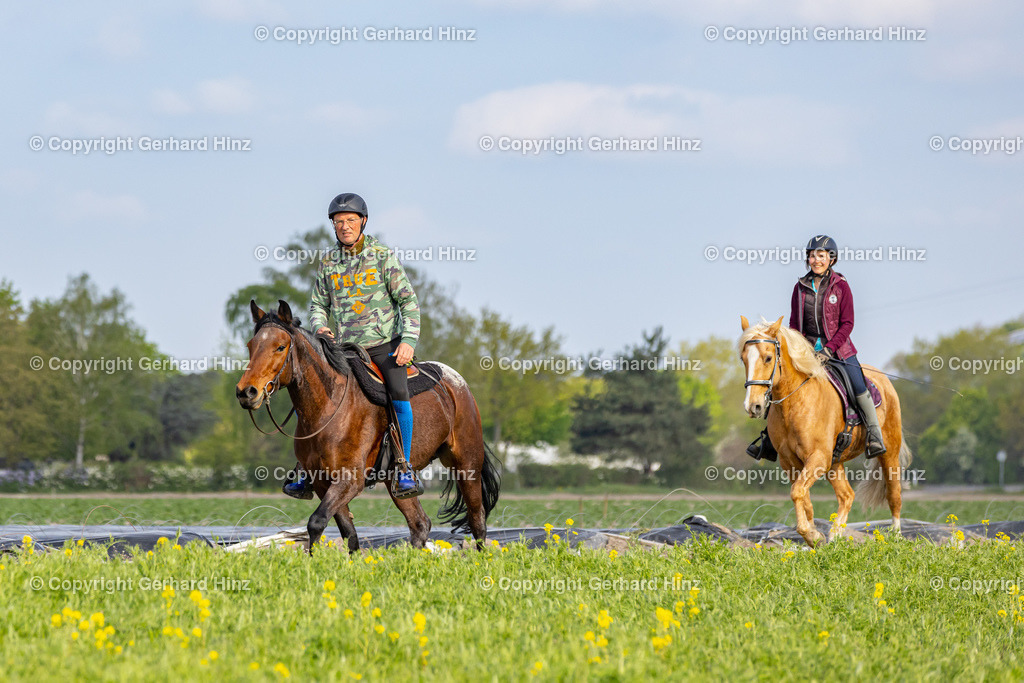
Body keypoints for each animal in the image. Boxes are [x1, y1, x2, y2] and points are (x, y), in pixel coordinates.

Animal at [235, 301, 499, 552]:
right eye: (250, 345)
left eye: (280, 347)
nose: (246, 392)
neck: (331, 407)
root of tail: (457, 384)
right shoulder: (322, 482)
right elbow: (349, 534)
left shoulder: (350, 480)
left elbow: (317, 522)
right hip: (395, 481)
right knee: (420, 524)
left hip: (467, 465)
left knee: (477, 522)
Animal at [737, 317, 913, 548]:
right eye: (743, 359)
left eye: (768, 358)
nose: (753, 407)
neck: (795, 402)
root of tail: (884, 380)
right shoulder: (790, 462)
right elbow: (803, 497)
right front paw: (815, 535)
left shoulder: (818, 458)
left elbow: (798, 492)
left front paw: (811, 534)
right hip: (834, 462)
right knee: (847, 495)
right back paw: (836, 534)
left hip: (889, 452)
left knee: (894, 494)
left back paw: (896, 537)